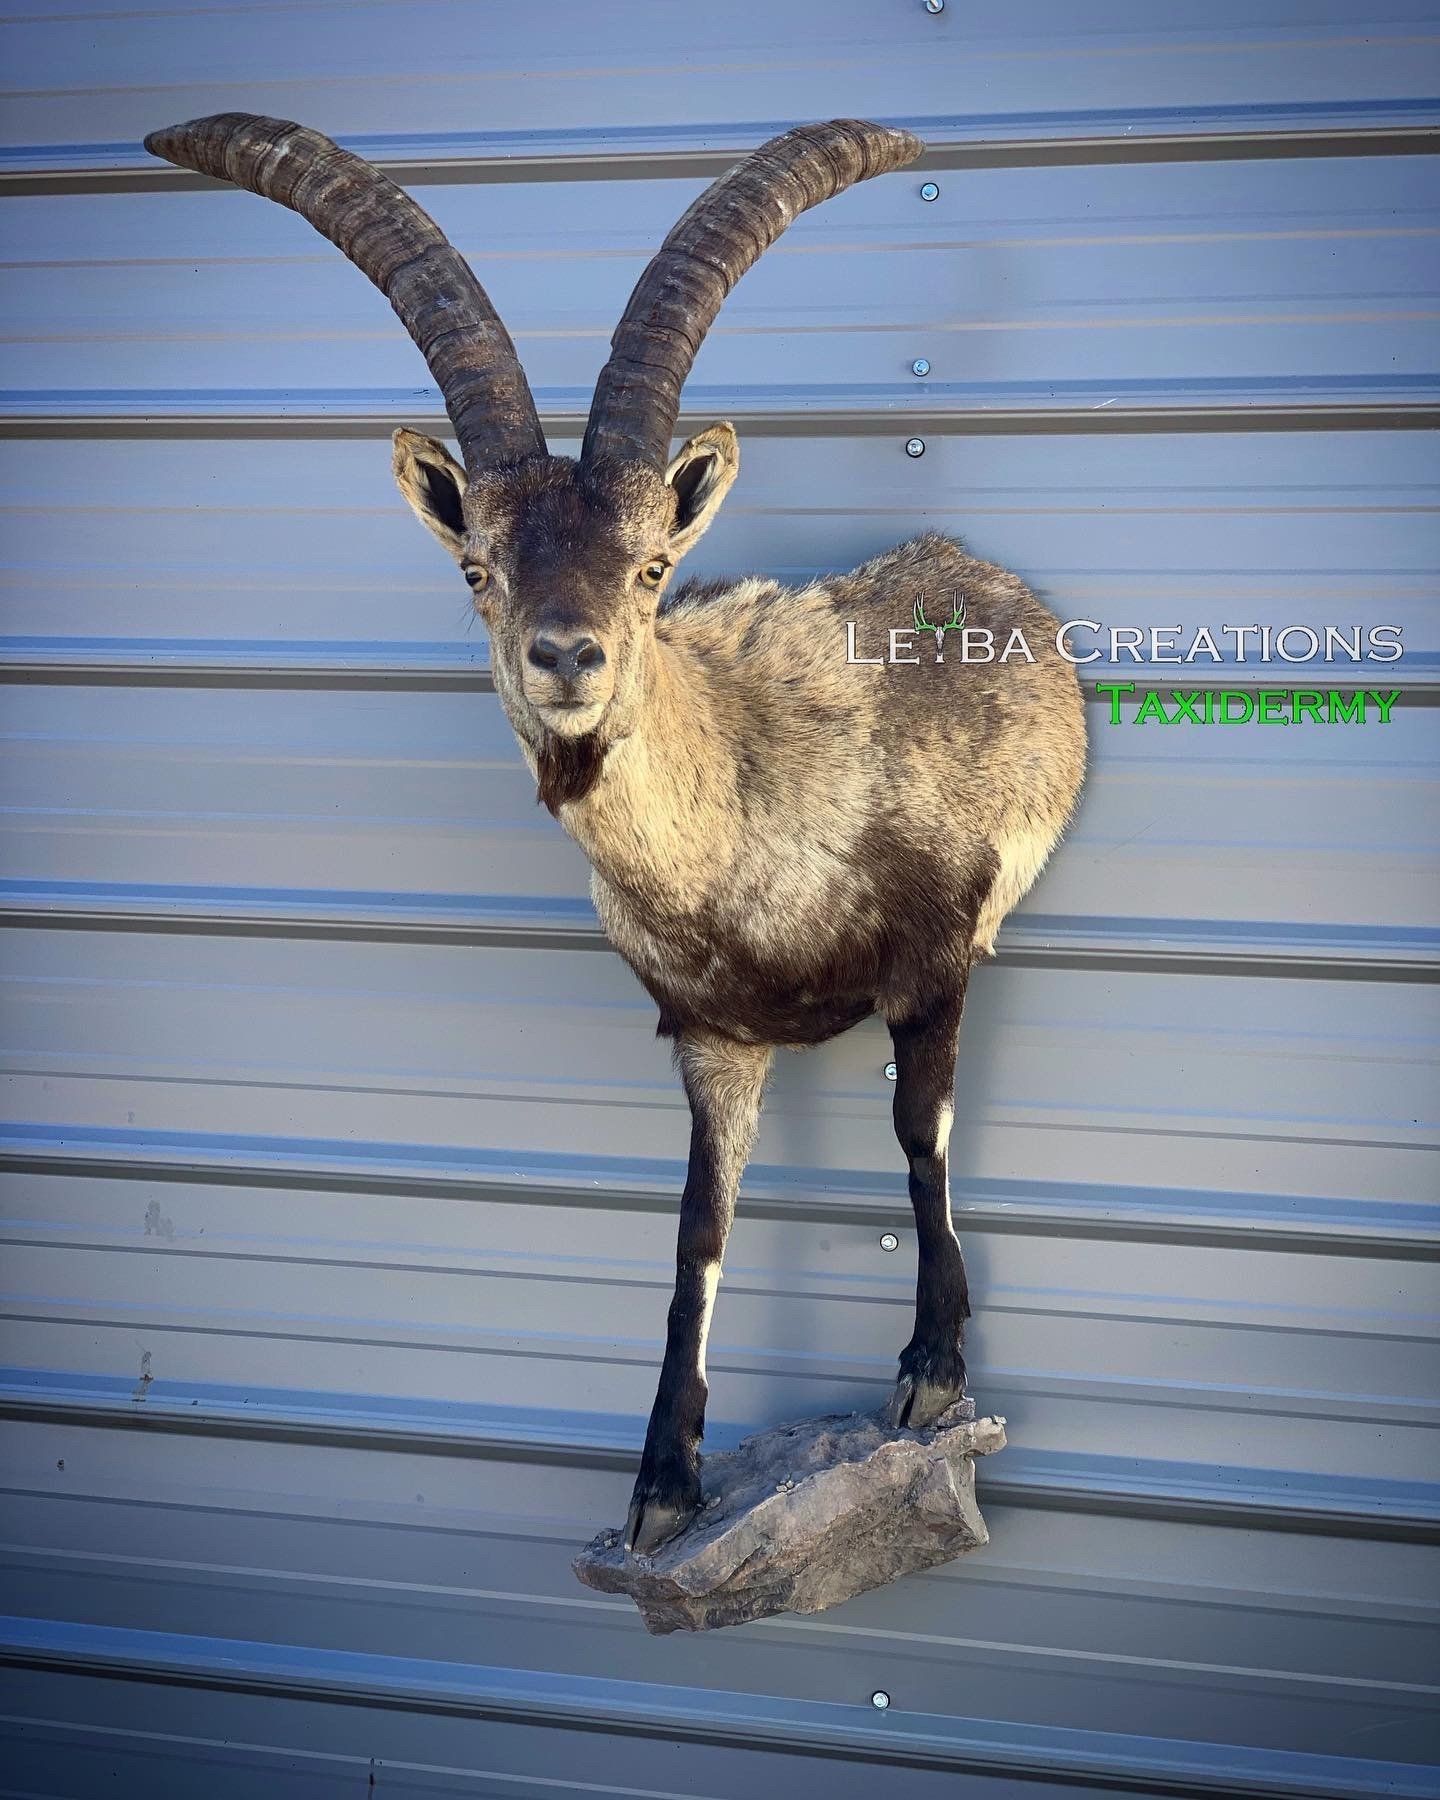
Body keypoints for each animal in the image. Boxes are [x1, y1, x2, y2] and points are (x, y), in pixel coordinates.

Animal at [145, 114, 1088, 1555]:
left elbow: (917, 1132)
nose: (568, 655)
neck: (756, 820)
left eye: (651, 566)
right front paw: (660, 1487)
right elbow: (698, 1229)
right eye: (479, 567)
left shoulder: (937, 958)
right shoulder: (710, 1034)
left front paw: (932, 1375)